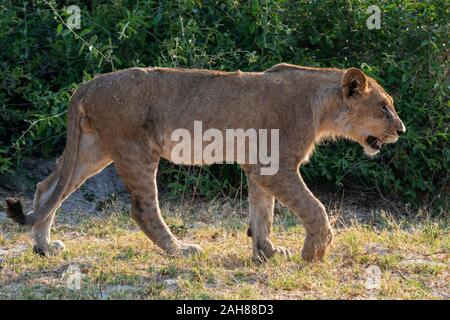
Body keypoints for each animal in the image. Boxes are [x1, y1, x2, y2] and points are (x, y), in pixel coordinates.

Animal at [3, 63, 406, 262]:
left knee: (47, 188)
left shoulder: (260, 165)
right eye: (384, 107)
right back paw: (180, 252)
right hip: (135, 149)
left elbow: (262, 213)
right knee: (143, 209)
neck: (321, 106)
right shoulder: (277, 166)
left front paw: (267, 253)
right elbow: (315, 209)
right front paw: (314, 253)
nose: (401, 129)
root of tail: (87, 85)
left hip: (92, 149)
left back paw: (44, 247)